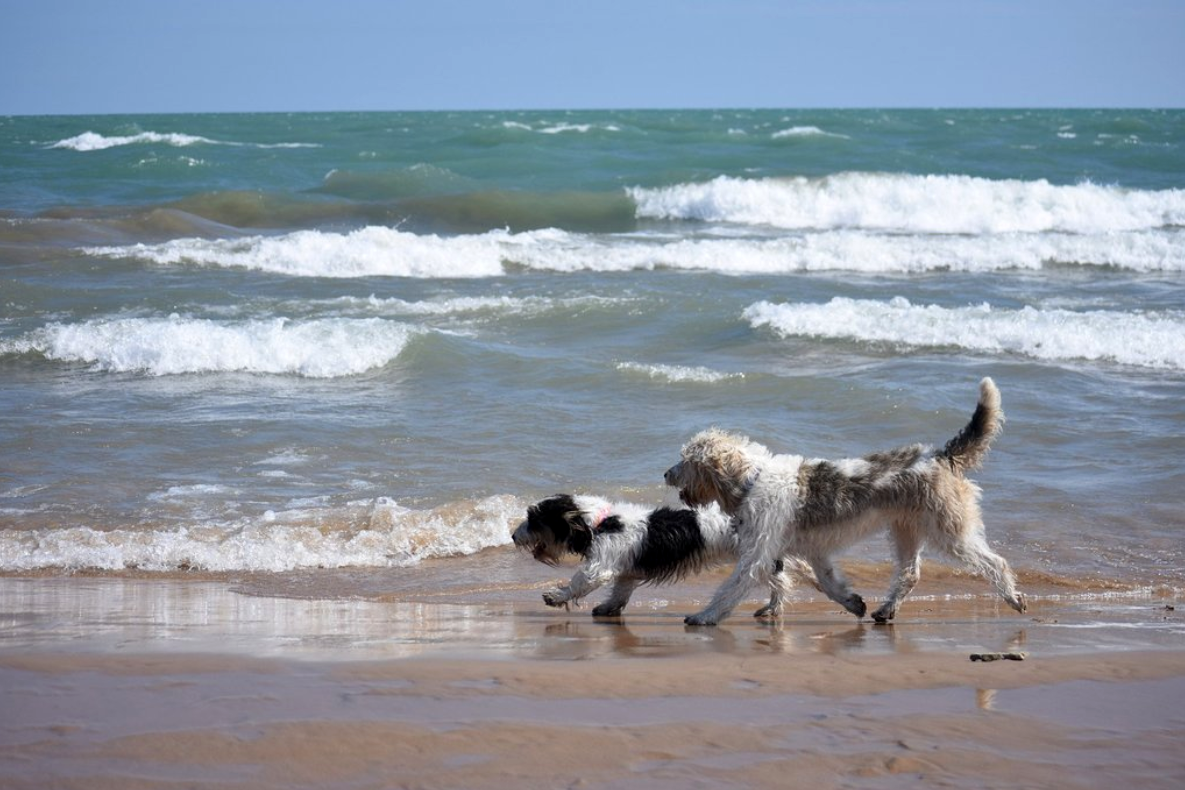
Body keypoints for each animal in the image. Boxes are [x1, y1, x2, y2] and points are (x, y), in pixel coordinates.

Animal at [509, 495, 815, 615]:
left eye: (533, 520)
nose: (512, 536)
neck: (599, 523)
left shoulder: (600, 566)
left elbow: (579, 583)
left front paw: (555, 596)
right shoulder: (626, 571)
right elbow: (620, 591)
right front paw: (608, 608)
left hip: (758, 558)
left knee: (780, 581)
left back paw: (773, 608)